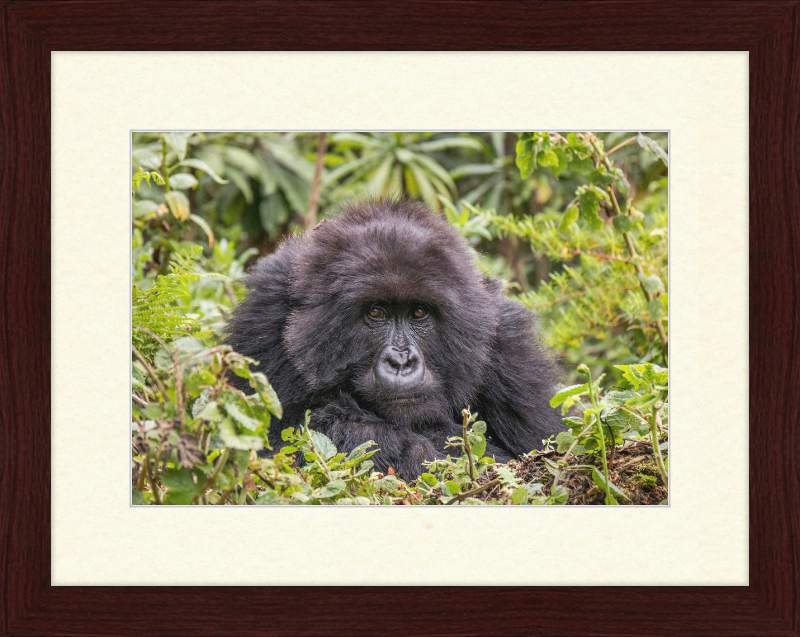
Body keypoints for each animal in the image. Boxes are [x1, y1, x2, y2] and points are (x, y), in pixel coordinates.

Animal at [225, 199, 564, 476]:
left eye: (418, 313)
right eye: (376, 313)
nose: (401, 361)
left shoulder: (510, 348)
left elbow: (541, 455)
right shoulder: (264, 320)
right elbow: (263, 453)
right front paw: (378, 438)